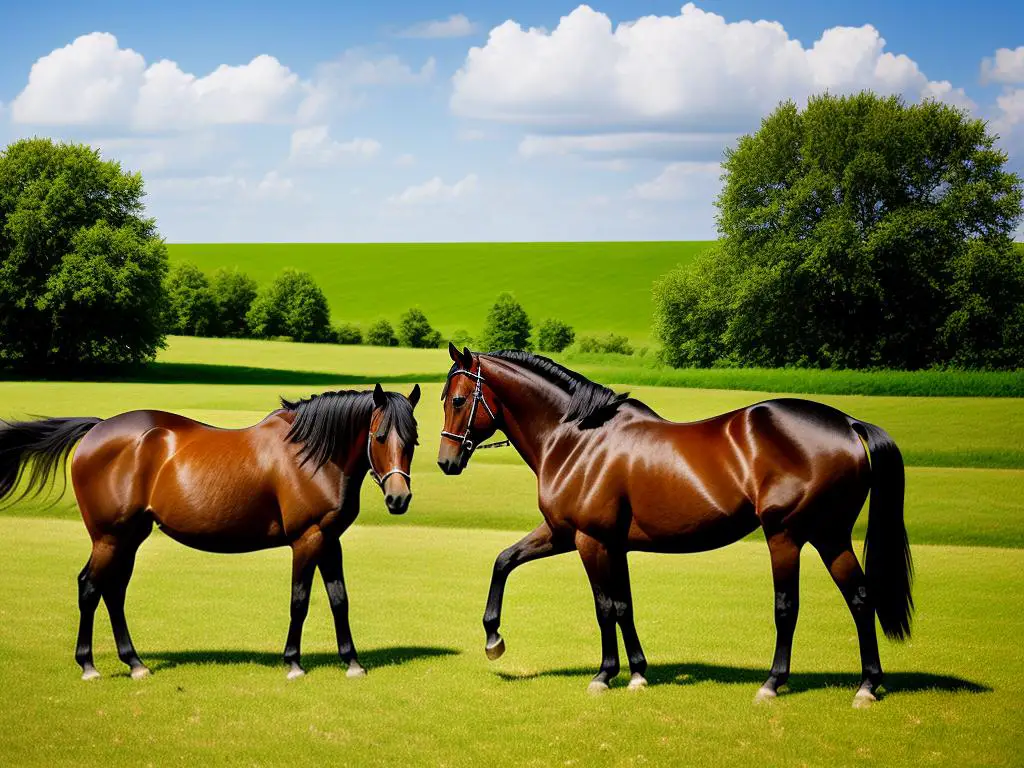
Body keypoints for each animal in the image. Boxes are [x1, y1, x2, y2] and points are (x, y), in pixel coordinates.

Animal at [1, 382, 419, 679]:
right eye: (380, 436)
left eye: (412, 439)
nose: (399, 498)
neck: (312, 454)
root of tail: (97, 430)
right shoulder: (307, 539)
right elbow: (299, 601)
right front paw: (293, 663)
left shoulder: (330, 540)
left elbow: (339, 599)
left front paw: (353, 662)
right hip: (109, 537)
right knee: (90, 587)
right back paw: (89, 665)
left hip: (129, 538)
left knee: (114, 592)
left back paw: (135, 663)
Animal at [440, 348, 913, 708]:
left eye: (459, 400)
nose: (447, 461)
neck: (576, 438)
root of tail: (847, 423)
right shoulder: (582, 538)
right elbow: (517, 565)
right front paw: (635, 673)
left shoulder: (587, 540)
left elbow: (603, 607)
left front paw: (603, 674)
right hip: (831, 537)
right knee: (860, 597)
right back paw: (868, 684)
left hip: (788, 536)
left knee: (788, 607)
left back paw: (773, 683)